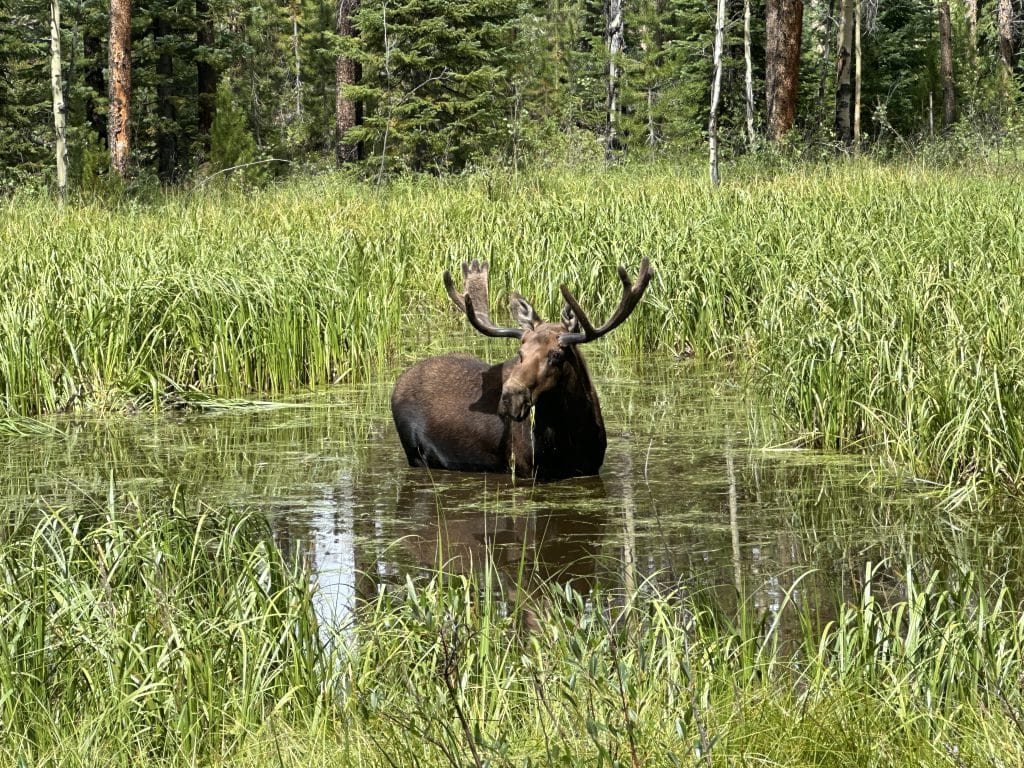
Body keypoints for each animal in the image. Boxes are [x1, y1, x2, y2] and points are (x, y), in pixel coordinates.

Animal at [391, 257, 655, 481]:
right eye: (520, 352)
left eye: (556, 355)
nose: (510, 397)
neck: (570, 436)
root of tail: (399, 382)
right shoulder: (525, 469)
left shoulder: (590, 468)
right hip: (414, 454)